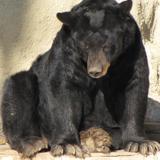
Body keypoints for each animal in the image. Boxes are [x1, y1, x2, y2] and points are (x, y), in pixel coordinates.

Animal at [1, 0, 160, 158]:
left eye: (107, 46)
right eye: (85, 46)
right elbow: (62, 88)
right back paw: (33, 143)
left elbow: (133, 89)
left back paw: (98, 137)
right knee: (19, 91)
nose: (95, 71)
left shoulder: (131, 50)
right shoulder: (67, 50)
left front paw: (141, 144)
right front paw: (68, 145)